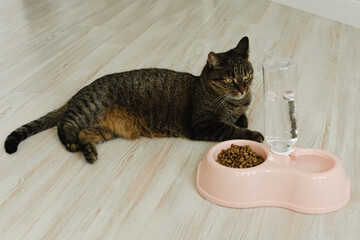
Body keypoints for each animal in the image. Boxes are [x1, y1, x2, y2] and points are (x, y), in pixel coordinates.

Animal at [4, 36, 262, 163]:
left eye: (247, 75)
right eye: (229, 79)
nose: (242, 88)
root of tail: (78, 93)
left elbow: (241, 118)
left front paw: (242, 119)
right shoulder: (204, 125)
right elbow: (231, 129)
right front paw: (253, 135)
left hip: (104, 130)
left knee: (84, 133)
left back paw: (89, 152)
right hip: (89, 108)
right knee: (64, 124)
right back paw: (71, 142)